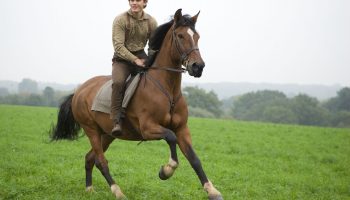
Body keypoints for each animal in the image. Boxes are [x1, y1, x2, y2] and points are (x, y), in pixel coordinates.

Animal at [50, 8, 223, 199]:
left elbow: (194, 159)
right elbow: (170, 137)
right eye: (180, 36)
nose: (198, 67)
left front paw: (212, 191)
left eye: (197, 36)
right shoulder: (148, 128)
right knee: (101, 161)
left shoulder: (182, 129)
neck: (167, 90)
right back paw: (118, 192)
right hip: (91, 130)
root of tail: (79, 91)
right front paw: (166, 170)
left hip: (107, 134)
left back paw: (89, 189)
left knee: (90, 158)